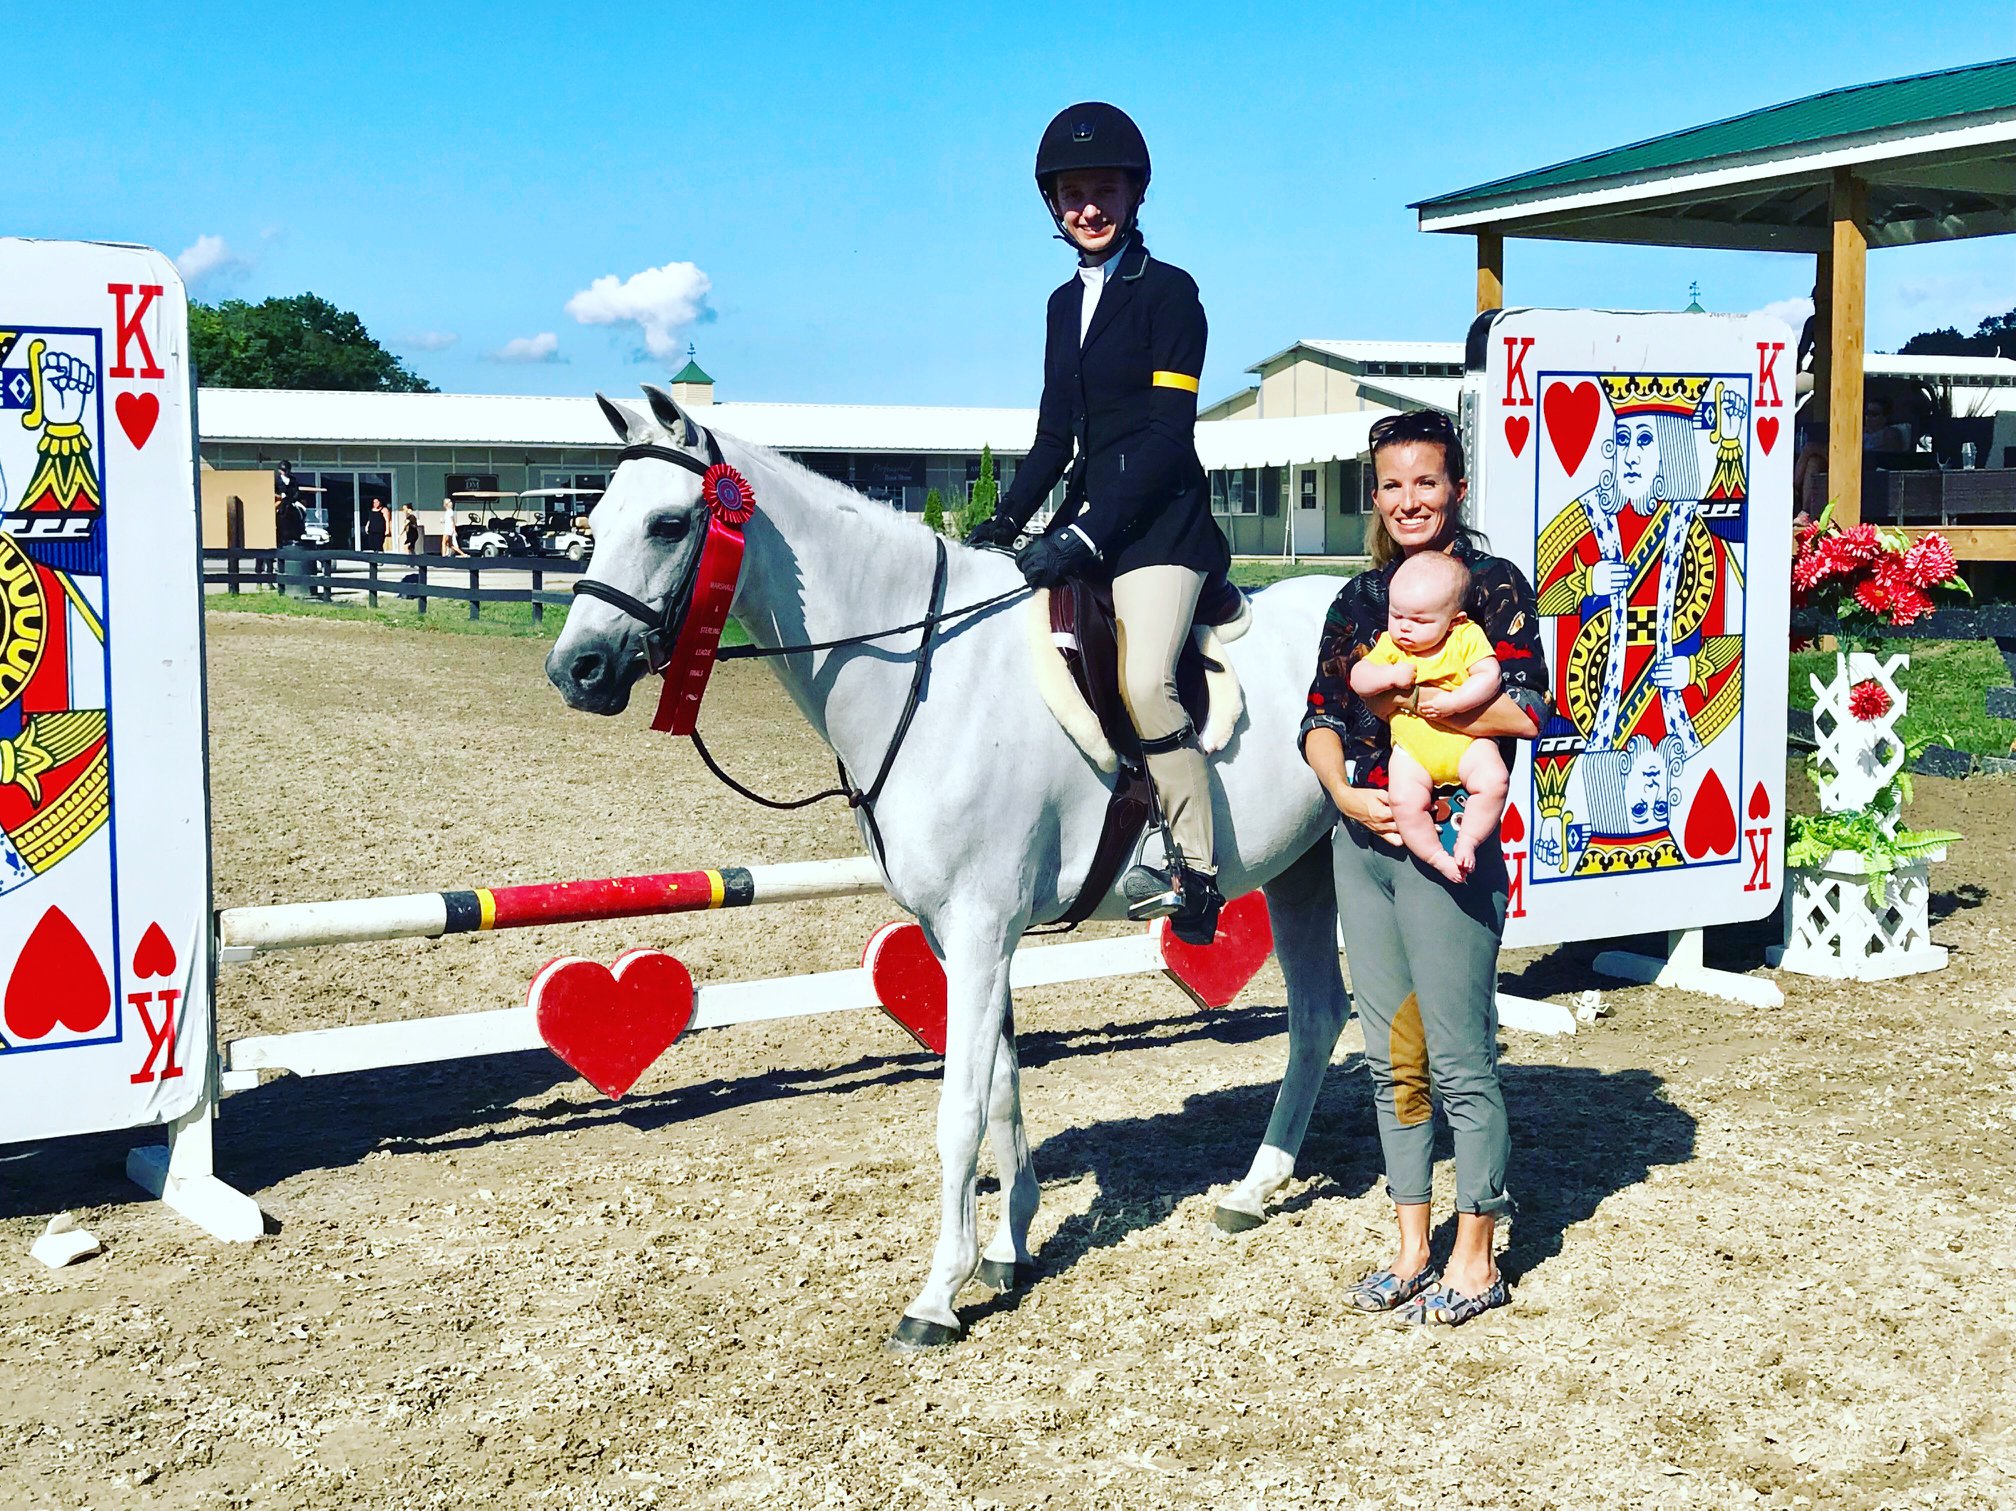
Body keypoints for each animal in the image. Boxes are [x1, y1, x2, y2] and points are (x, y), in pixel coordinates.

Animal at [548, 386, 1354, 1345]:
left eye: (670, 523)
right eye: (593, 520)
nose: (575, 669)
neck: (931, 672)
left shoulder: (978, 927)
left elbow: (960, 1109)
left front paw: (936, 1294)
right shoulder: (961, 933)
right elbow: (1002, 1088)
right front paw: (1007, 1249)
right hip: (1302, 866)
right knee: (1317, 1015)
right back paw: (1253, 1190)